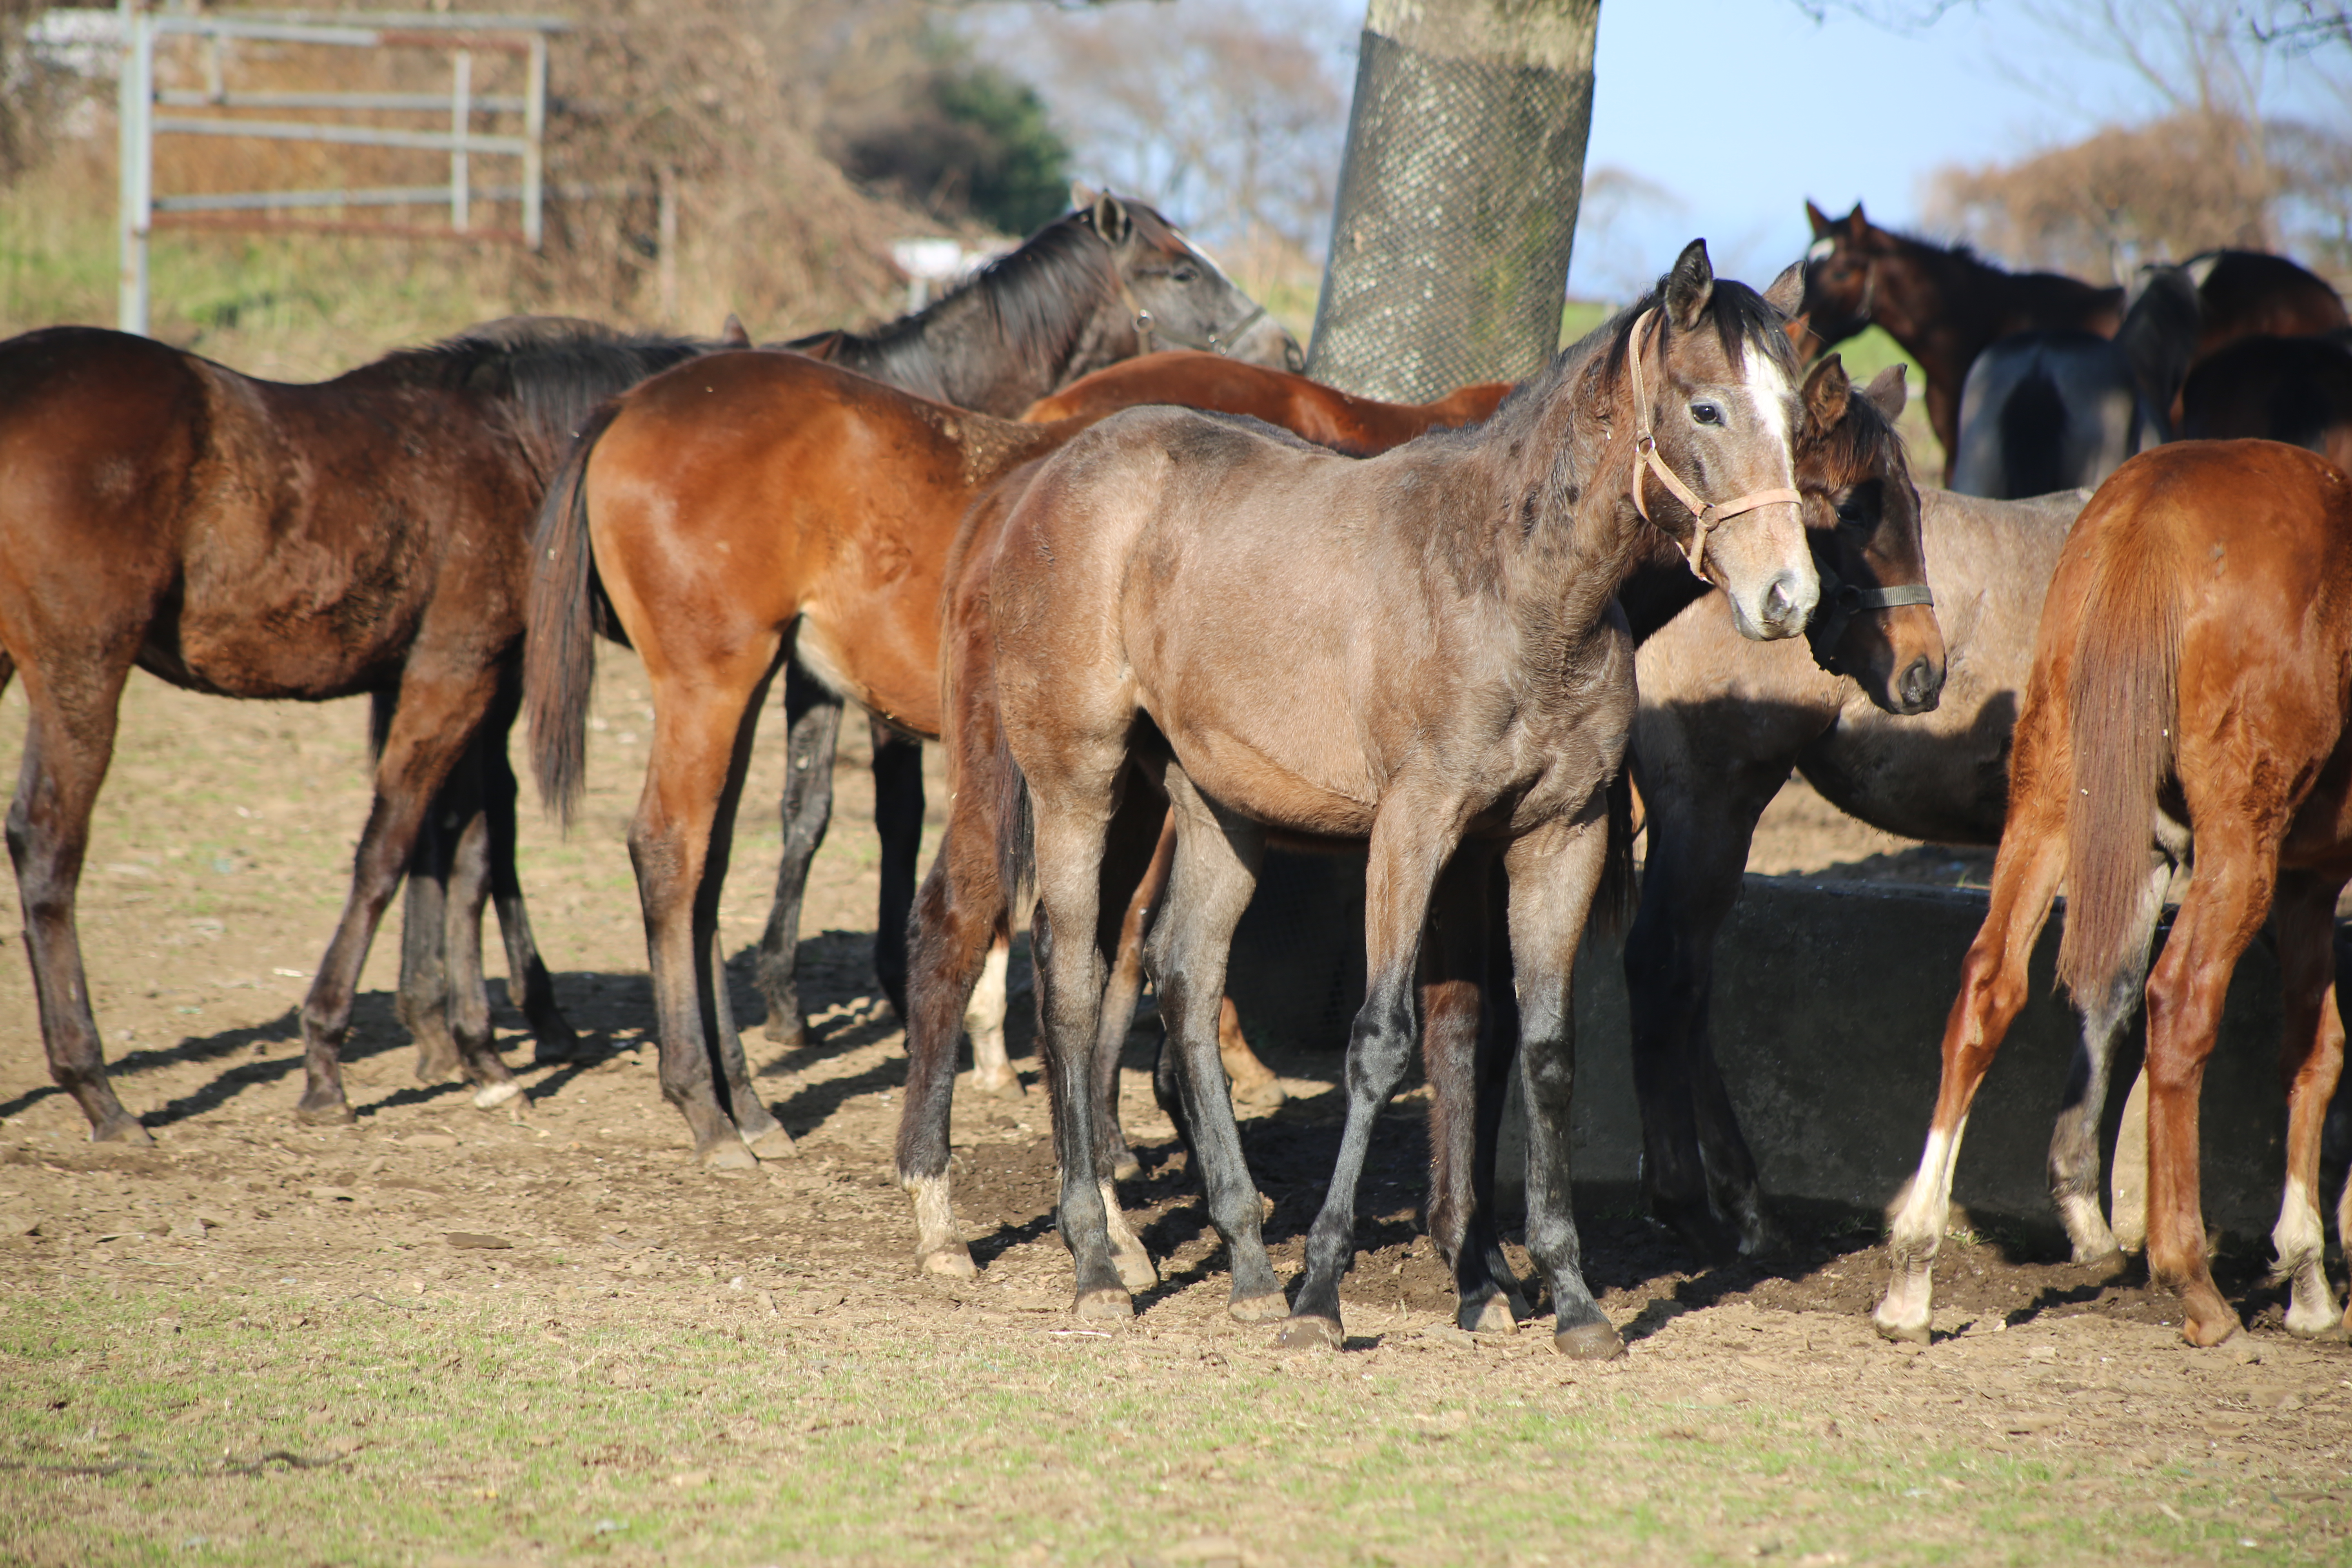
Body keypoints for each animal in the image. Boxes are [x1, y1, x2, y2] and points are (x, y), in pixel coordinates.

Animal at [0, 315, 715, 1142]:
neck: (515, 445)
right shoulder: (452, 672)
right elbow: (389, 852)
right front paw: (327, 1065)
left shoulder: (468, 682)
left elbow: (466, 857)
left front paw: (481, 1056)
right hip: (82, 669)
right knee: (48, 842)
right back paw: (98, 1092)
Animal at [519, 350, 1486, 1171]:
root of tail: (631, 403)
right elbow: (1127, 941)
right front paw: (1141, 1118)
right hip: (710, 685)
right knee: (670, 854)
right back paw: (705, 1107)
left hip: (747, 688)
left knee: (708, 873)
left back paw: (748, 1106)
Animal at [983, 245, 1806, 1363]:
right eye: (1707, 408)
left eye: (1795, 413)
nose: (1788, 596)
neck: (1519, 593)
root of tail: (1052, 471)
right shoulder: (1412, 833)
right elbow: (1379, 1043)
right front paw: (1323, 1296)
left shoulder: (1558, 838)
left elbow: (1543, 1052)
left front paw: (1570, 1298)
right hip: (1081, 782)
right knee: (1070, 982)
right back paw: (1100, 1262)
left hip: (1217, 809)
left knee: (1185, 981)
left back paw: (1248, 1267)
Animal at [1872, 442, 2352, 1354]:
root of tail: (2156, 508)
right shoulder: (2303, 878)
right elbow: (2315, 1052)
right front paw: (2308, 1276)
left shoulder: (2302, 883)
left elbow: (2313, 1050)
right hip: (2238, 844)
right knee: (2180, 1002)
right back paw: (2192, 1282)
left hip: (2051, 796)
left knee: (1989, 987)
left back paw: (1912, 1274)